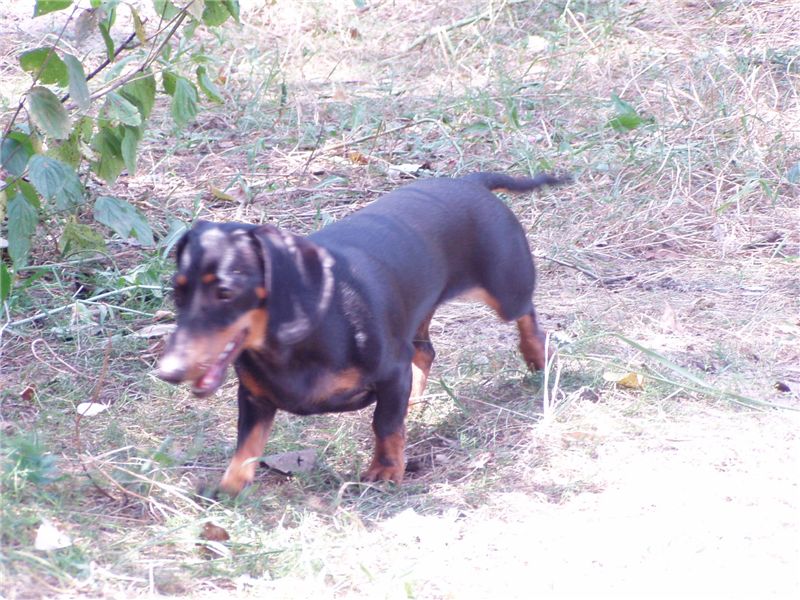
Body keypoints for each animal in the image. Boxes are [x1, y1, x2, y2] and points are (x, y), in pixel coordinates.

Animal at [156, 172, 567, 496]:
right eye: (178, 291)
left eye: (225, 292)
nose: (167, 372)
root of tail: (470, 181)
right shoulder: (254, 398)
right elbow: (247, 444)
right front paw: (230, 486)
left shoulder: (391, 371)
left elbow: (384, 424)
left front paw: (385, 470)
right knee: (425, 352)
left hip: (505, 290)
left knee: (525, 314)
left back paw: (538, 357)